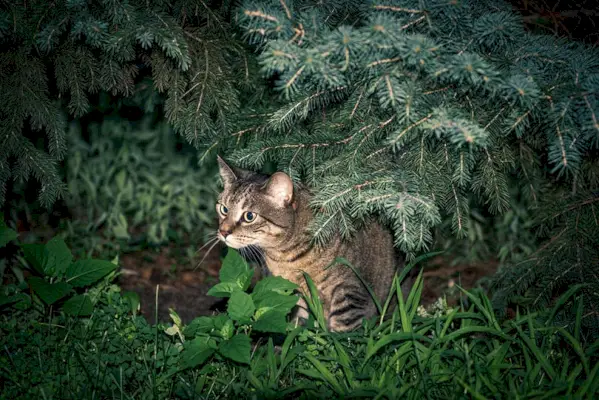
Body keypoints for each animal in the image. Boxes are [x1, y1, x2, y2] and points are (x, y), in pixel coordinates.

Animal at [213, 156, 406, 332]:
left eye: (249, 216)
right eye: (223, 209)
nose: (223, 232)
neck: (285, 257)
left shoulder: (349, 290)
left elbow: (343, 333)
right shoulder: (293, 292)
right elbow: (299, 323)